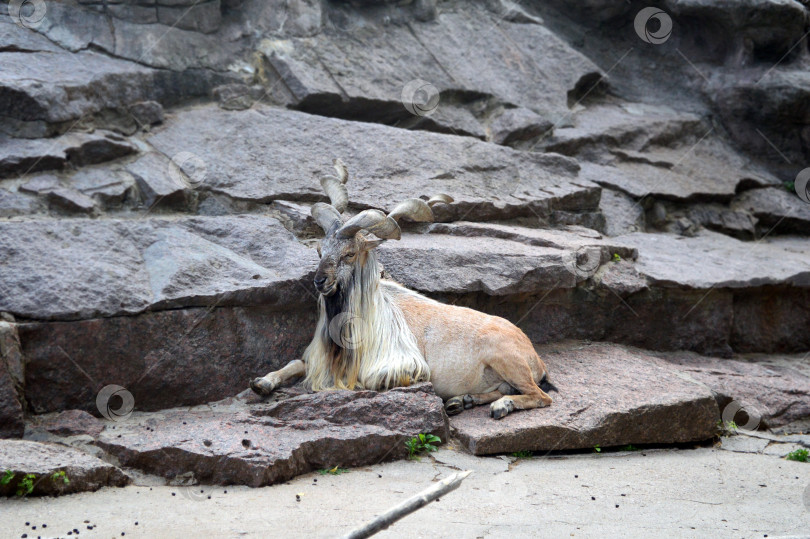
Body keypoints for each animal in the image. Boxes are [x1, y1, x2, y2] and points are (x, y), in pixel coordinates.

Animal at [249, 158, 552, 420]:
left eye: (349, 254)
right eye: (319, 251)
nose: (320, 281)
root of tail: (534, 357)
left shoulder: (402, 366)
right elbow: (298, 363)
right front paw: (261, 382)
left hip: (506, 358)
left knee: (540, 397)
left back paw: (500, 406)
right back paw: (462, 401)